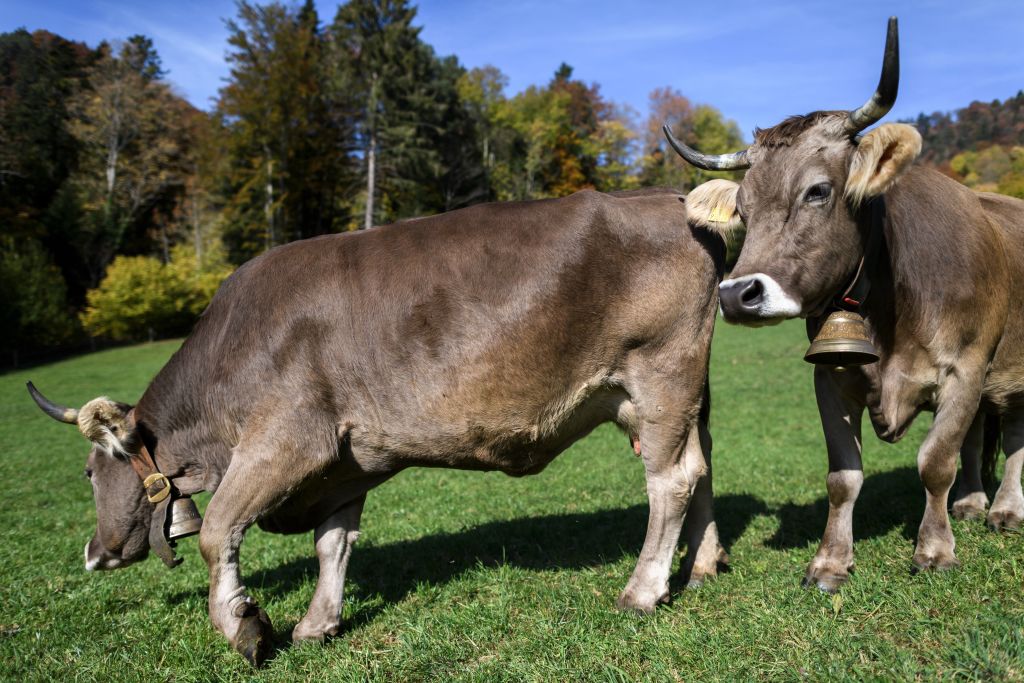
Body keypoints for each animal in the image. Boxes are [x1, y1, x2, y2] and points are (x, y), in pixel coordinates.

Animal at [29, 187, 728, 666]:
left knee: (671, 480)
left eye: (89, 471)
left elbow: (219, 530)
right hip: (678, 396)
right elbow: (332, 544)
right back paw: (702, 566)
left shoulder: (285, 439)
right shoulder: (342, 464)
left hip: (661, 376)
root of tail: (667, 199)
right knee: (703, 466)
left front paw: (244, 626)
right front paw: (318, 623)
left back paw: (643, 589)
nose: (92, 554)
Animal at [665, 17, 1024, 592]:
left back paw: (1005, 510)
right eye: (742, 207)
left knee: (1012, 436)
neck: (894, 308)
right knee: (976, 440)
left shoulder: (966, 369)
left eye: (817, 191)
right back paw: (970, 504)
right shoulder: (831, 375)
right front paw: (831, 561)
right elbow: (843, 476)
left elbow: (935, 462)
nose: (736, 294)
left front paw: (934, 550)